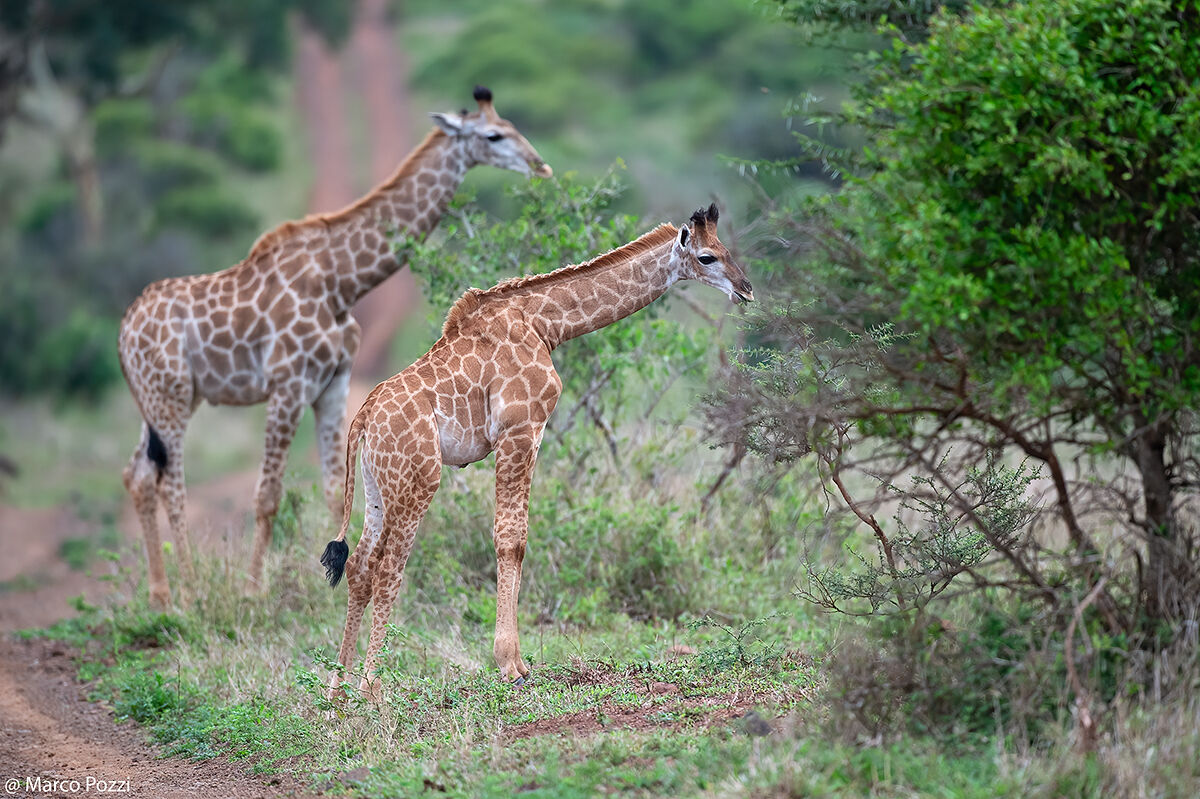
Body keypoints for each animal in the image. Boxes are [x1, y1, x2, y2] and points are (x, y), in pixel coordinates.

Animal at [119, 87, 551, 609]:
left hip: (159, 399)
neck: (342, 281)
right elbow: (267, 496)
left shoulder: (333, 381)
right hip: (172, 397)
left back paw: (161, 595)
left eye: (509, 126)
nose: (540, 165)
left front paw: (325, 588)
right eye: (493, 135)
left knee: (139, 476)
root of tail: (123, 330)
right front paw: (252, 591)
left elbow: (332, 489)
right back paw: (191, 589)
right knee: (171, 485)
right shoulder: (288, 383)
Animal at [319, 204, 753, 698]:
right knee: (390, 566)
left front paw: (516, 660)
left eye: (725, 248)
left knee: (360, 566)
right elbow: (511, 539)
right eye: (706, 256)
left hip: (377, 484)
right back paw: (372, 686)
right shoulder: (520, 430)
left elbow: (518, 540)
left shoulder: (526, 435)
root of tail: (363, 417)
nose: (746, 289)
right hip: (420, 478)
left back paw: (338, 689)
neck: (546, 323)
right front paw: (511, 664)